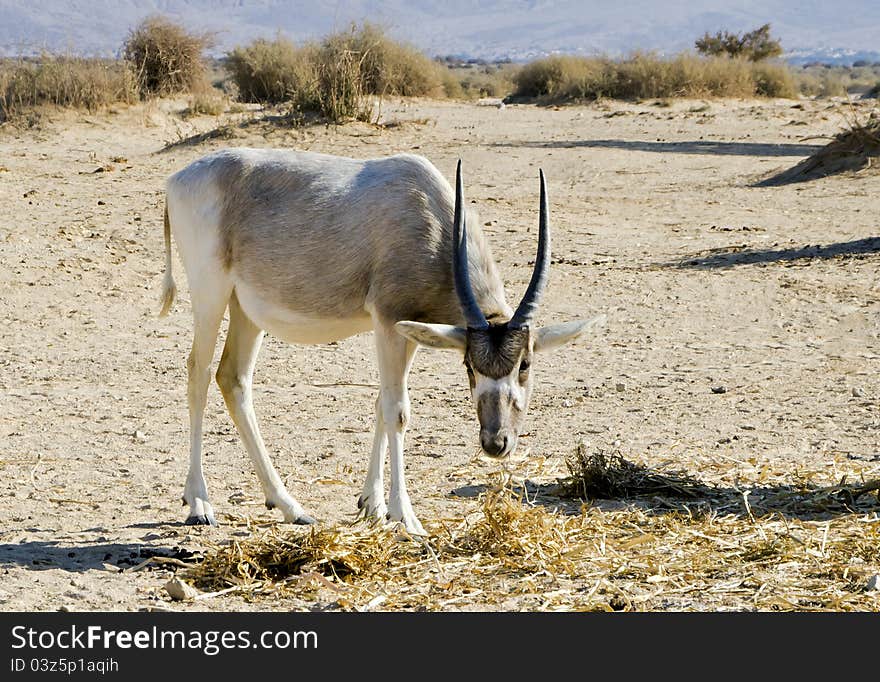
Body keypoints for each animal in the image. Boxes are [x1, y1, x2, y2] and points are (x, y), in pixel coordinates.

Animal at [160, 147, 604, 532]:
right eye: (469, 365)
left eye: (524, 365)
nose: (496, 443)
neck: (431, 218)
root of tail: (177, 179)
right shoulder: (388, 321)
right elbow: (398, 411)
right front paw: (404, 517)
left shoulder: (407, 331)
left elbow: (381, 402)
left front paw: (370, 504)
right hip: (211, 293)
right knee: (198, 373)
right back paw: (198, 503)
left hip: (246, 309)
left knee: (233, 378)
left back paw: (289, 506)